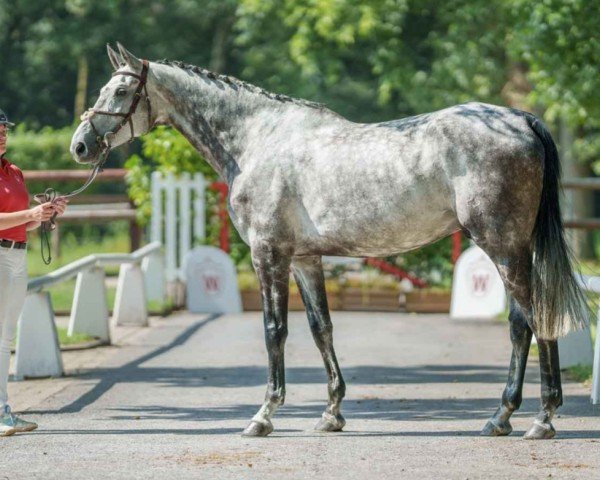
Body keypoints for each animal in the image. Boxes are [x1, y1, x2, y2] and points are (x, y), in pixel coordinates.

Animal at [71, 44, 592, 438]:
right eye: (103, 89)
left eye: (122, 91)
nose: (79, 145)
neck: (257, 140)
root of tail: (521, 120)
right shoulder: (305, 259)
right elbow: (321, 329)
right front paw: (331, 413)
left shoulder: (269, 256)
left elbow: (274, 331)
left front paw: (263, 416)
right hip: (512, 249)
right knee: (525, 322)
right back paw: (504, 418)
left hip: (503, 247)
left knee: (530, 321)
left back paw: (538, 419)